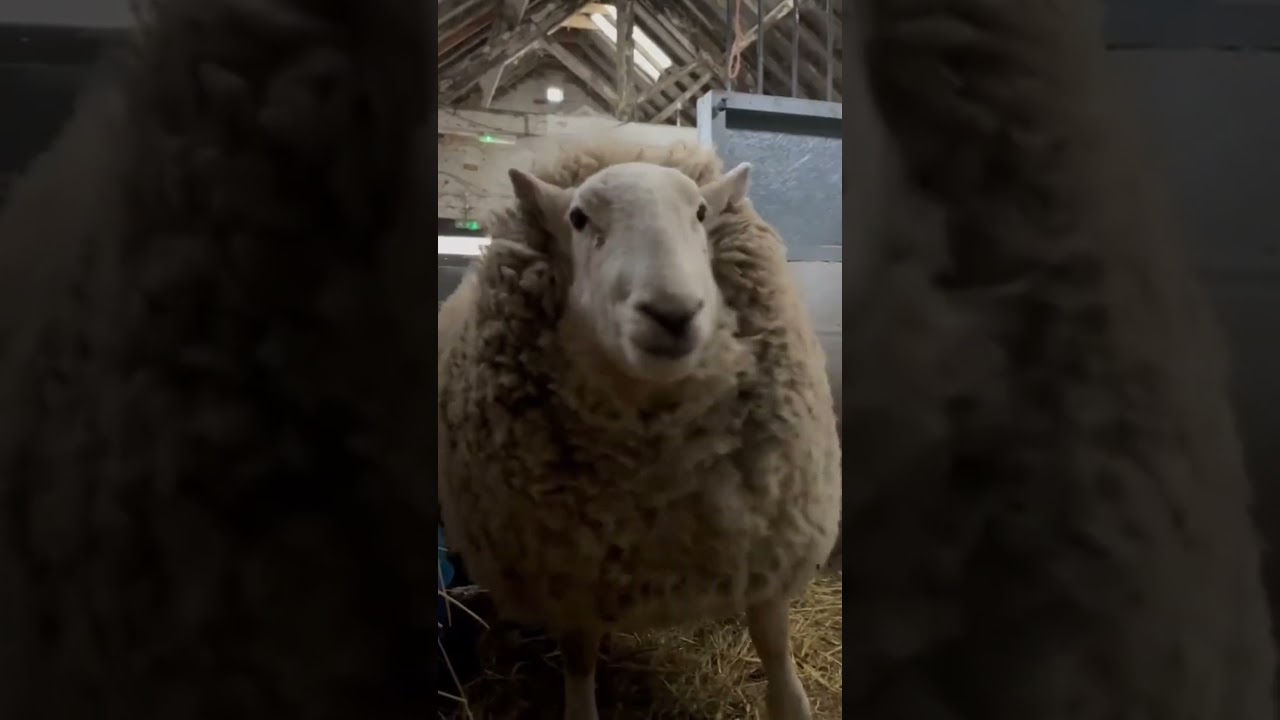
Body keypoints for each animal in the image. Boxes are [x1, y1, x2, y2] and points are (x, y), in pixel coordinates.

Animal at [437, 143, 842, 720]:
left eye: (700, 212)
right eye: (578, 219)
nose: (672, 313)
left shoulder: (767, 556)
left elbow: (777, 656)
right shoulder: (570, 588)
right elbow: (579, 671)